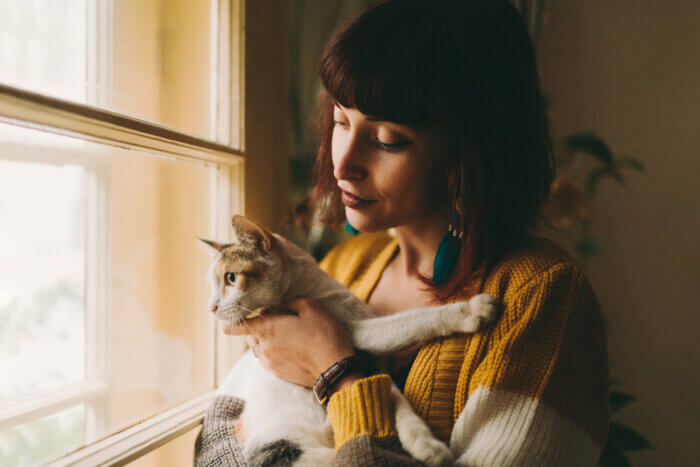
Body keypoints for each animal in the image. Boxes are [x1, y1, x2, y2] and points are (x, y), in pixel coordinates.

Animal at [200, 217, 500, 467]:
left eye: (231, 278)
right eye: (213, 285)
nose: (211, 307)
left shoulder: (370, 363)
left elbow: (396, 400)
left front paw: (425, 444)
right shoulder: (360, 331)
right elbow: (413, 320)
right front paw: (469, 311)